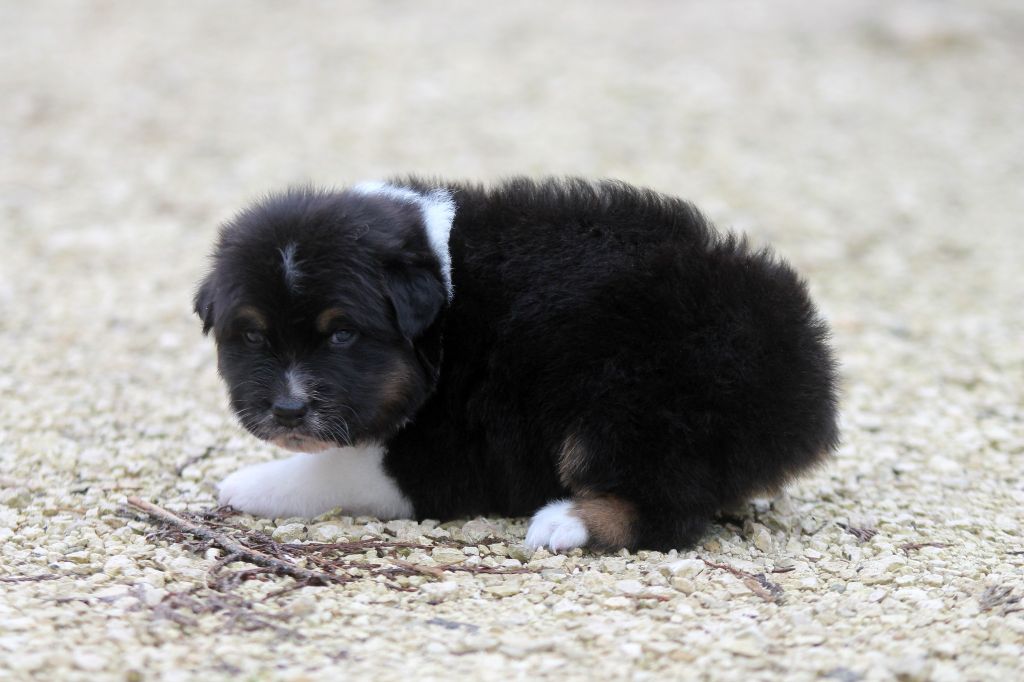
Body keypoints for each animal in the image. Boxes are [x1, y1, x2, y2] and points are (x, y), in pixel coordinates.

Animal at [194, 178, 839, 552]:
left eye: (343, 335)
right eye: (251, 336)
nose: (287, 410)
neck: (446, 303)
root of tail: (803, 374)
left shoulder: (451, 450)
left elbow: (336, 470)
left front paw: (245, 483)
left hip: (632, 402)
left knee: (669, 511)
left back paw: (563, 522)